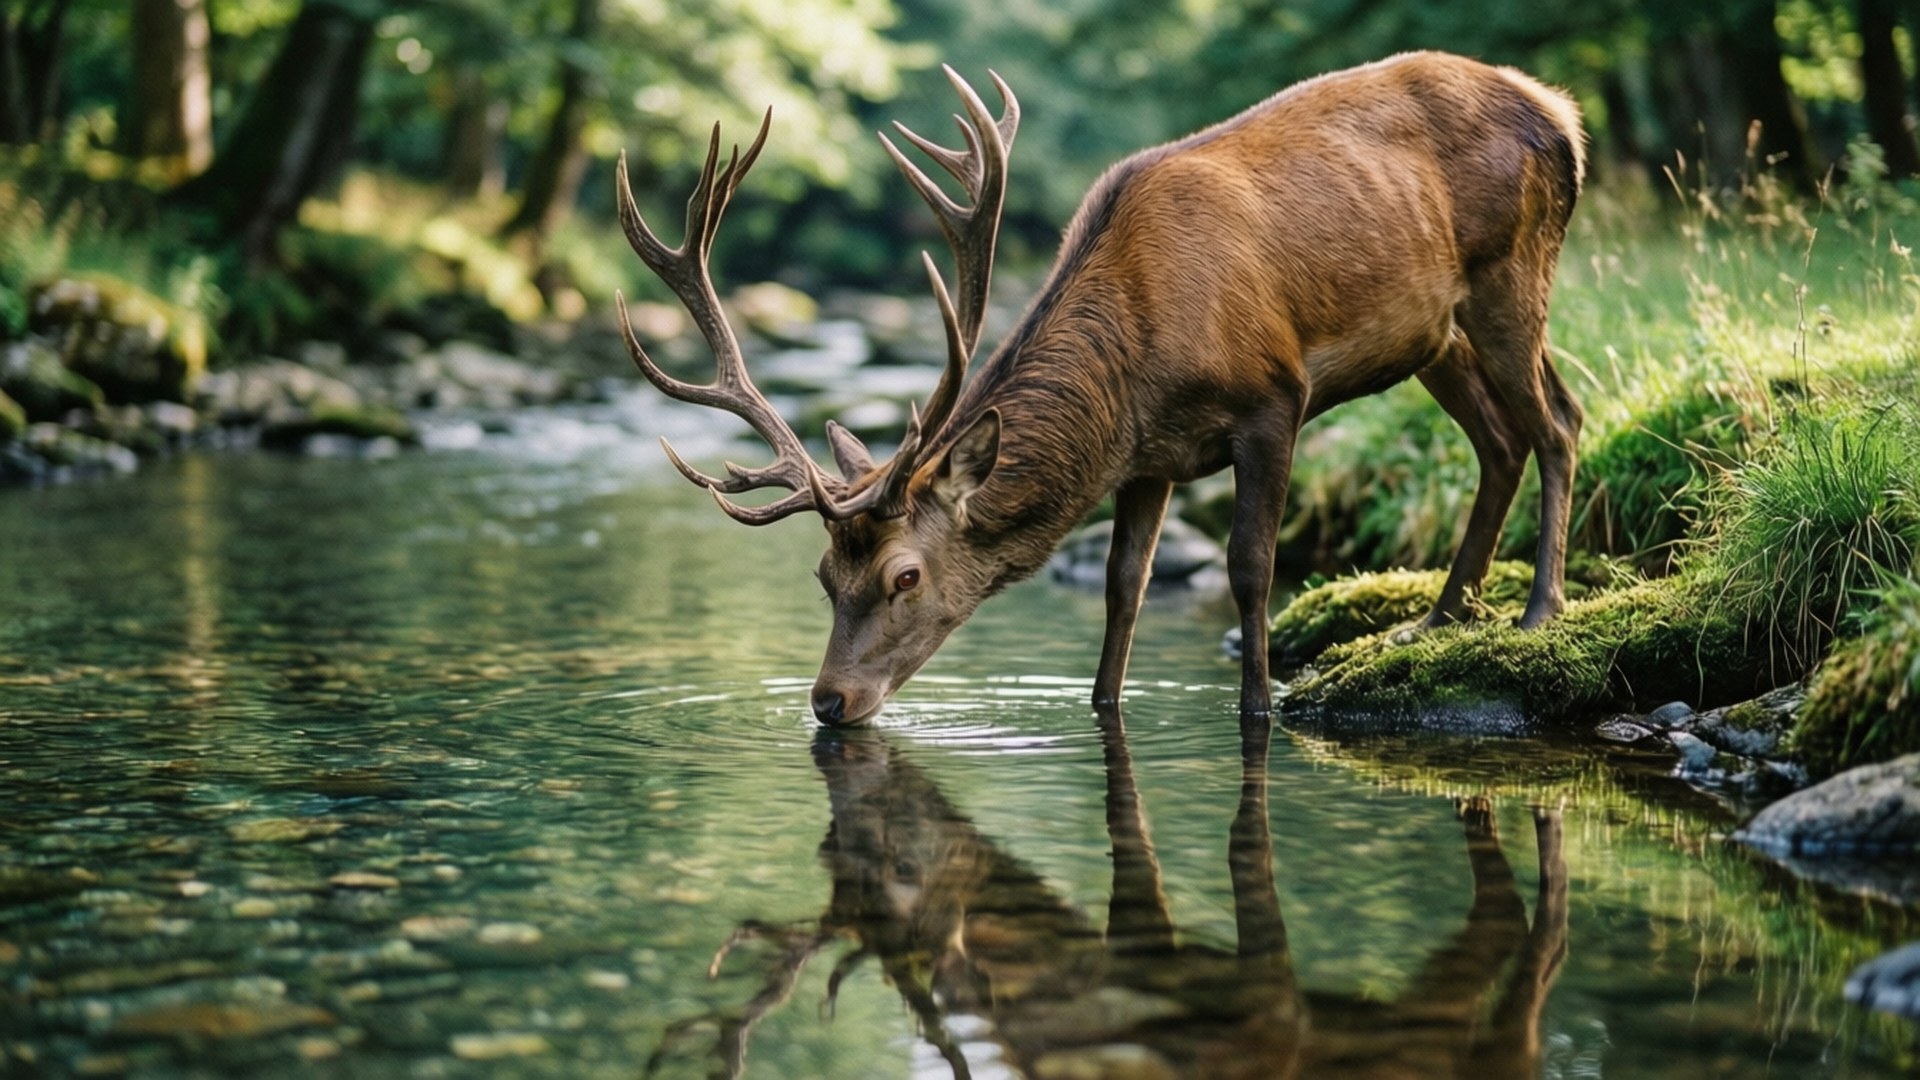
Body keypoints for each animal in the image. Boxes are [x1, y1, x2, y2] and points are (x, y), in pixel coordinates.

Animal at [616, 51, 1587, 725]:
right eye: (823, 575)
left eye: (904, 576)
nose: (827, 703)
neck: (1141, 355)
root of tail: (1563, 114)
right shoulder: (1149, 457)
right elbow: (1125, 584)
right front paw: (1102, 706)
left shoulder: (1274, 397)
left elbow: (1250, 566)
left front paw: (1257, 708)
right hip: (1435, 335)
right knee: (1500, 441)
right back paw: (1437, 621)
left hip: (1513, 270)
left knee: (1561, 421)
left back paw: (1538, 612)